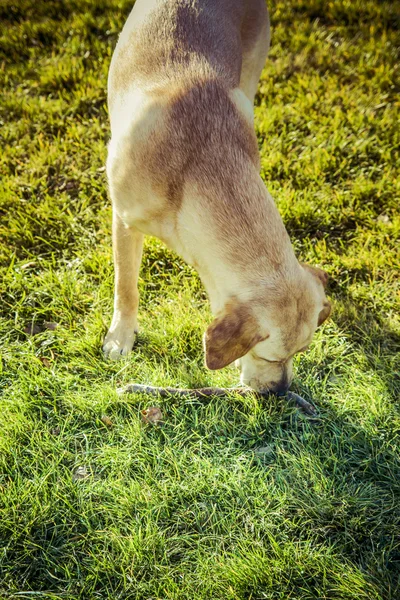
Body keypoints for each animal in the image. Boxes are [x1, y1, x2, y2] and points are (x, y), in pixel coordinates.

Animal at [103, 0, 332, 396]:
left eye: (300, 353)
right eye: (269, 355)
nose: (279, 391)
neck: (195, 166)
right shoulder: (124, 220)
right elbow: (126, 287)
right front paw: (121, 336)